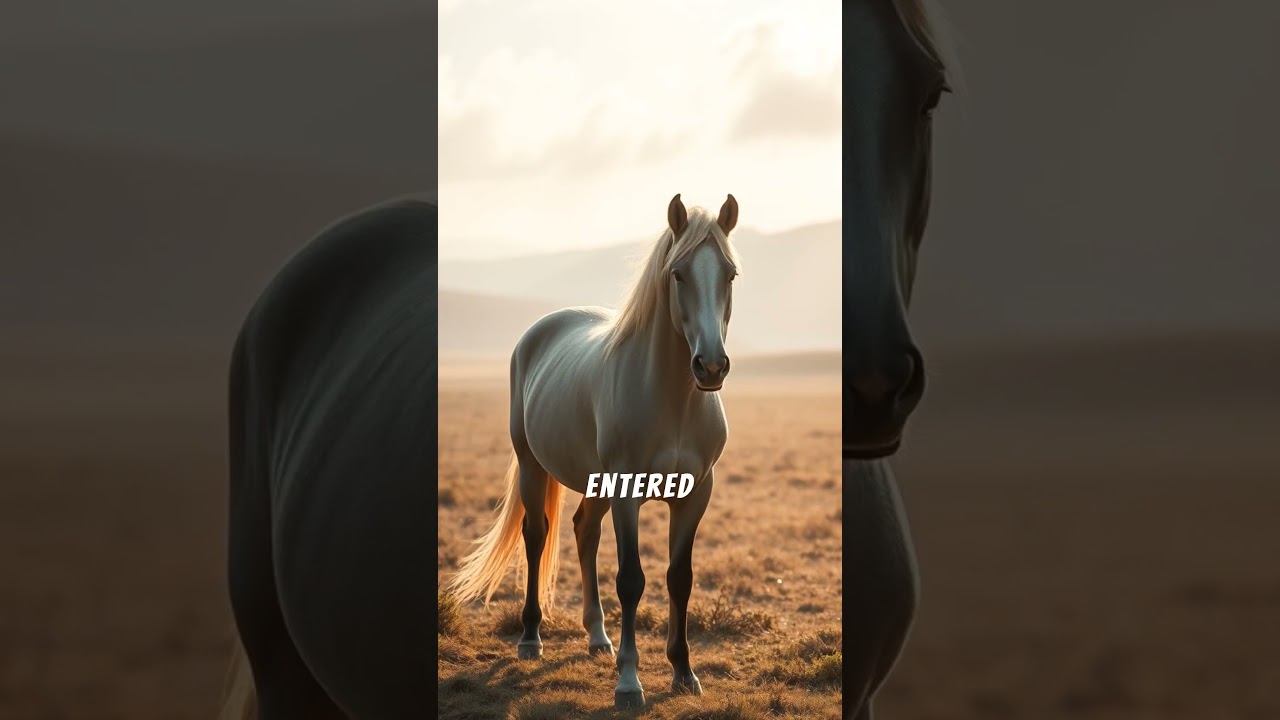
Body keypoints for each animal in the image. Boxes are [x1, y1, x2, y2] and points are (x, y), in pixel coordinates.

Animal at [448, 194, 742, 710]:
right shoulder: (626, 493)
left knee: (584, 529)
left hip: (596, 483)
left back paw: (597, 636)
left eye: (729, 274)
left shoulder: (694, 495)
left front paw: (683, 672)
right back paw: (531, 638)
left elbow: (679, 577)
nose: (710, 366)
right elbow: (631, 580)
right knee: (537, 534)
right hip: (533, 466)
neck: (674, 402)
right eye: (678, 273)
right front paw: (629, 682)